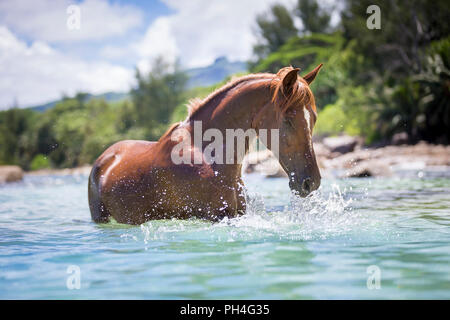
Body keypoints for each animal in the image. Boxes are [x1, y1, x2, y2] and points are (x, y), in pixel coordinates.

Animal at [88, 64, 322, 225]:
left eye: (314, 118)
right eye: (288, 120)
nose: (310, 183)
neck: (210, 156)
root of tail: (104, 159)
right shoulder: (214, 216)